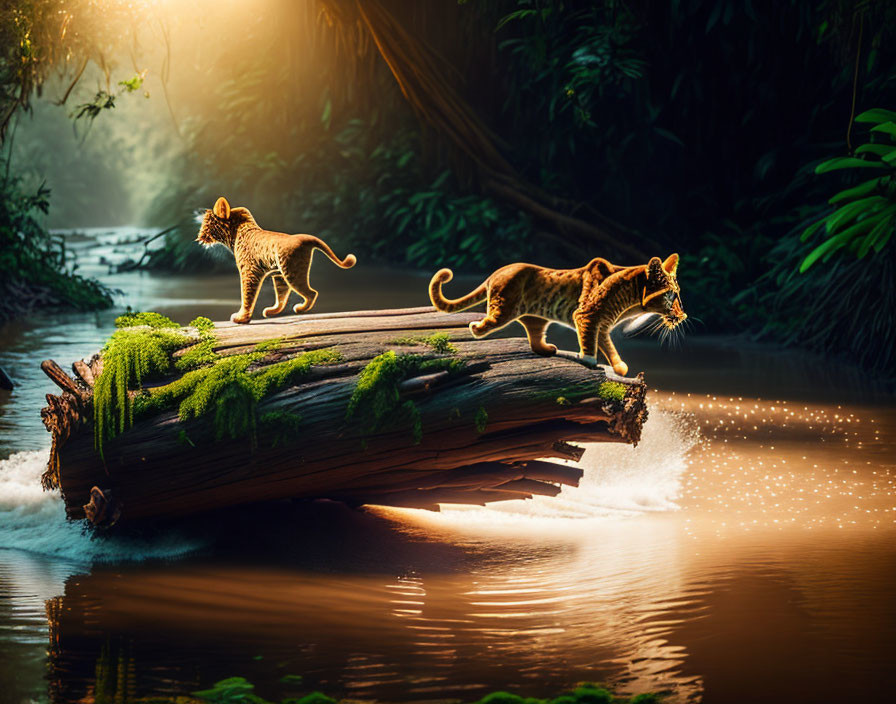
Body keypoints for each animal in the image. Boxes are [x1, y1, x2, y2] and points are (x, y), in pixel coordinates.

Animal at [198, 194, 356, 324]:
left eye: (206, 224)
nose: (199, 237)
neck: (236, 231)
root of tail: (304, 237)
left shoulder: (249, 272)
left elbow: (247, 296)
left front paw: (241, 318)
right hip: (281, 275)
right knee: (282, 296)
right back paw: (271, 311)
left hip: (292, 272)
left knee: (311, 292)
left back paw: (299, 308)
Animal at [428, 252, 688, 374]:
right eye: (671, 295)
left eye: (678, 294)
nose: (683, 315)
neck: (630, 301)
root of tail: (497, 271)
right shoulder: (586, 316)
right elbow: (590, 341)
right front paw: (588, 360)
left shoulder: (602, 324)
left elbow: (607, 346)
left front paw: (619, 367)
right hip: (503, 309)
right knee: (486, 322)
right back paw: (474, 328)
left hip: (536, 319)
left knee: (534, 338)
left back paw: (546, 349)